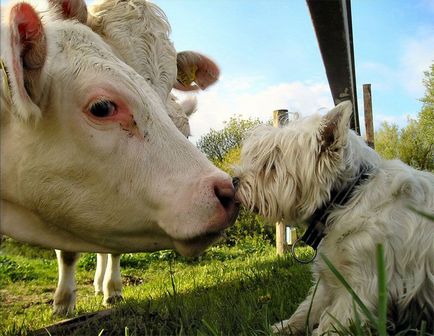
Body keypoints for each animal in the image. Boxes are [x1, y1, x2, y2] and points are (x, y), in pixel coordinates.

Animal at [234, 101, 434, 334]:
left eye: (270, 165)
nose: (234, 180)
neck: (347, 199)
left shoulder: (364, 284)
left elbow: (331, 321)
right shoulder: (329, 280)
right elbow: (307, 308)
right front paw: (282, 327)